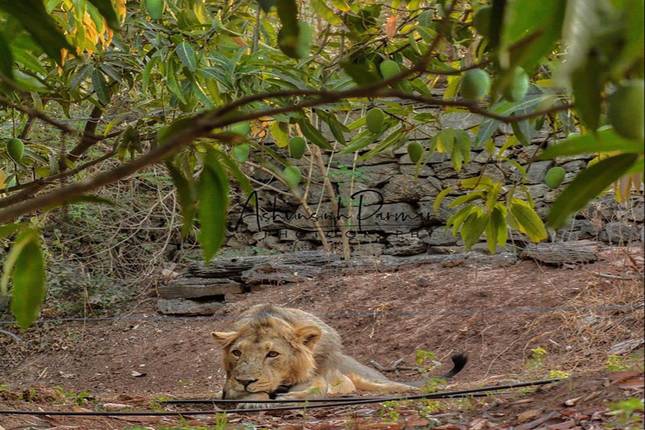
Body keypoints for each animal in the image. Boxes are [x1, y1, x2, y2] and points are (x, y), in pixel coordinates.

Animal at [212, 304, 467, 405]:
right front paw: (251, 399)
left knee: (396, 385)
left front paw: (291, 397)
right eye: (237, 352)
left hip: (371, 379)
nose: (245, 381)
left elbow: (317, 389)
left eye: (273, 354)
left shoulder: (316, 378)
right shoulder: (229, 386)